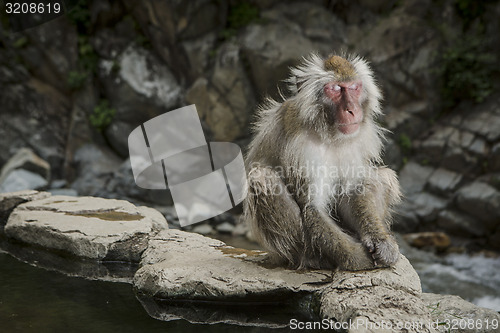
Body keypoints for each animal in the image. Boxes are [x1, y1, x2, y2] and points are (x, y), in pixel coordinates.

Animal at [242, 52, 402, 270]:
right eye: (335, 89)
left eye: (354, 87)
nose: (352, 110)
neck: (328, 133)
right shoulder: (302, 150)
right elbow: (313, 207)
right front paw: (358, 258)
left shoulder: (357, 141)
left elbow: (353, 192)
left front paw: (381, 242)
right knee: (263, 178)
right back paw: (311, 258)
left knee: (383, 176)